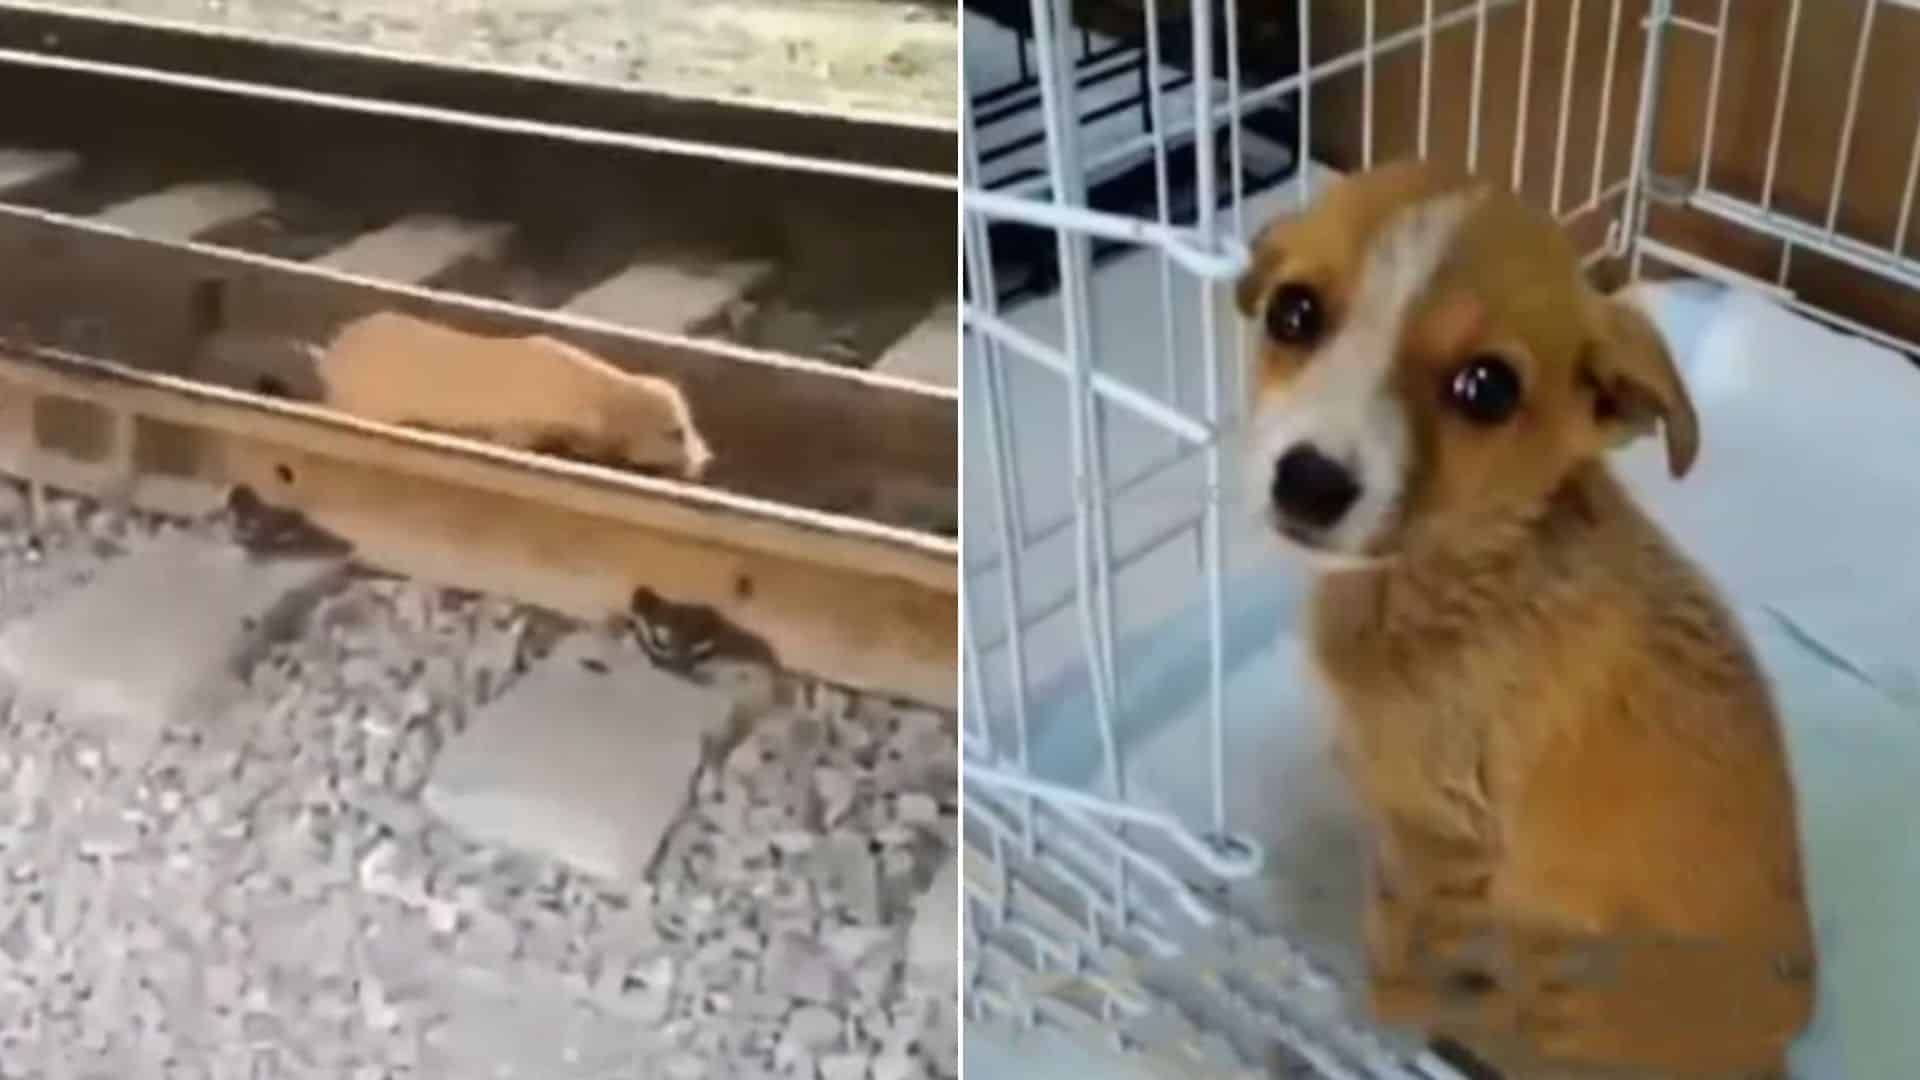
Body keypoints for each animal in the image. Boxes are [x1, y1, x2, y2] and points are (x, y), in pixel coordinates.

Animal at [1228, 161, 1812, 1076]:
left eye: (1487, 388)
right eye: (1294, 312)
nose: (1309, 482)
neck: (1469, 574)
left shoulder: (1446, 842)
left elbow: (1397, 943)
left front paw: (1379, 1004)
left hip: (1567, 970)